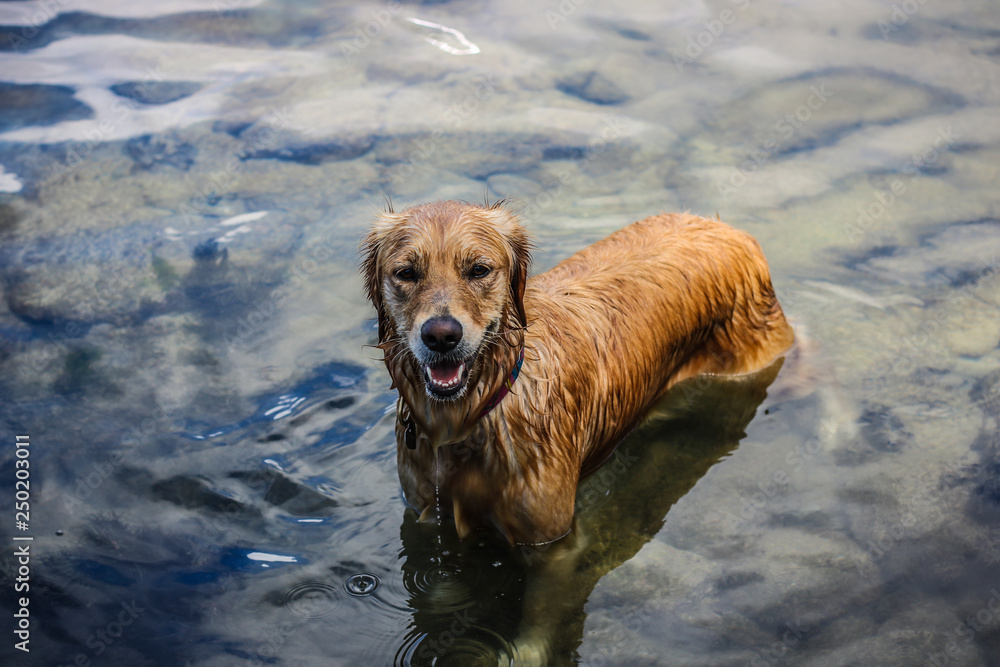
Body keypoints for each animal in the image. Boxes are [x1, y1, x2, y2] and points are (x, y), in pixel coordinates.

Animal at [364, 201, 792, 544]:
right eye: (406, 273)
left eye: (479, 270)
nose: (441, 335)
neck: (473, 417)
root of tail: (729, 229)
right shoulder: (425, 512)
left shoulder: (552, 545)